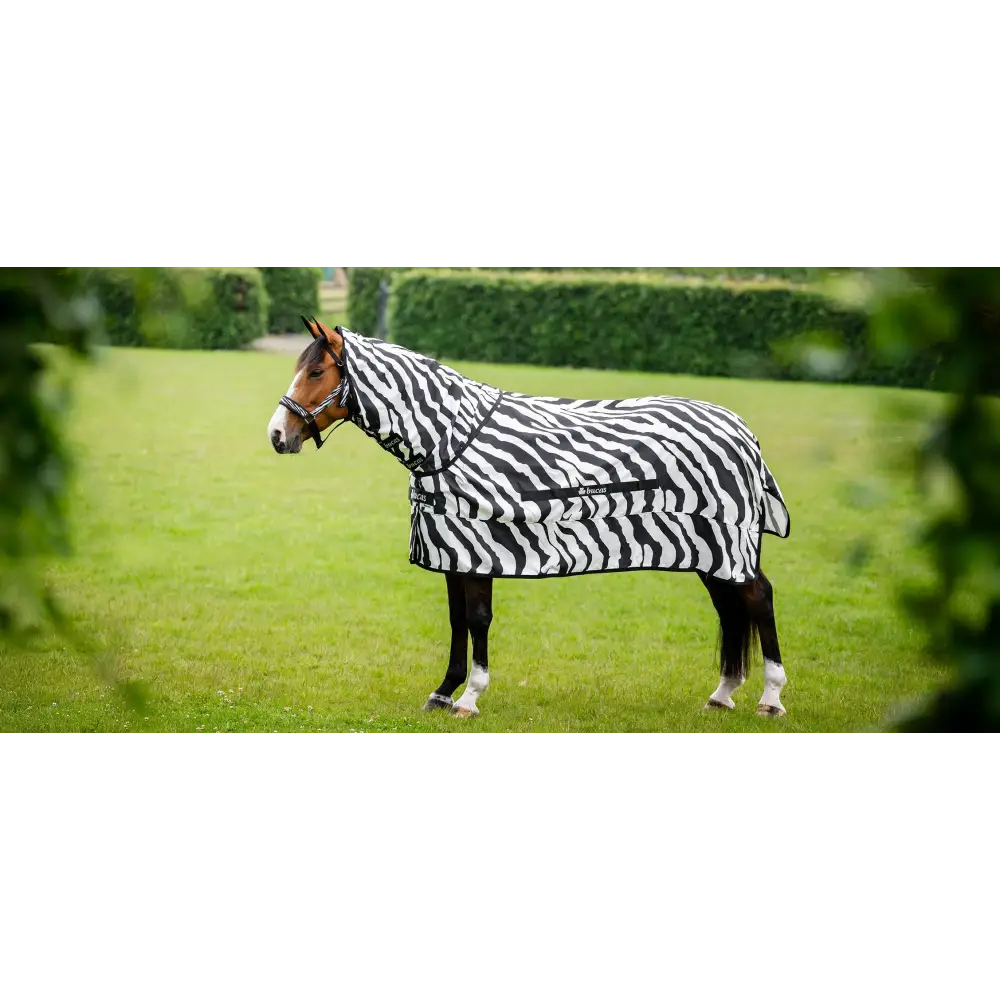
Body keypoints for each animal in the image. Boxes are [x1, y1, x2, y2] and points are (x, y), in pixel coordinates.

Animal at [268, 318, 791, 721]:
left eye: (317, 370)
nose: (277, 434)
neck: (450, 441)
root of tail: (741, 431)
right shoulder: (452, 551)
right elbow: (457, 621)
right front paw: (443, 692)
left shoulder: (478, 547)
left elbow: (477, 620)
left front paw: (470, 698)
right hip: (712, 552)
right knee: (730, 609)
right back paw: (722, 694)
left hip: (728, 543)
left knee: (760, 599)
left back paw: (770, 697)